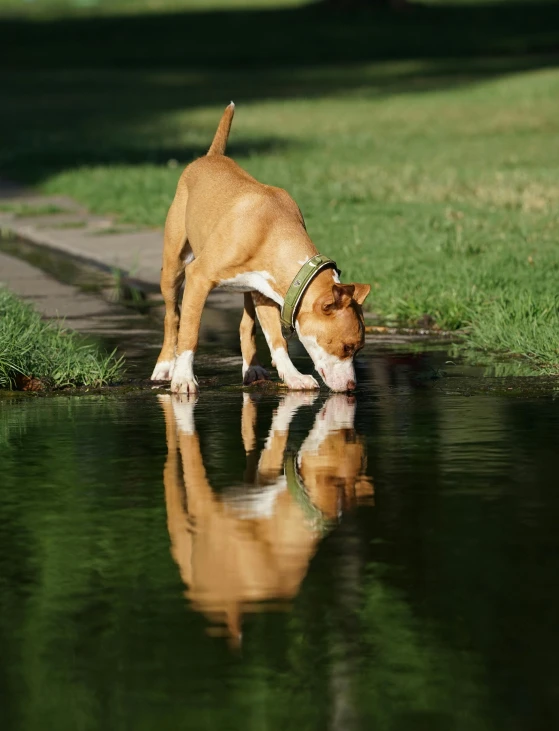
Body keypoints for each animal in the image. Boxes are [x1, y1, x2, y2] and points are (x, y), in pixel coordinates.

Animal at [153, 103, 372, 394]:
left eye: (358, 349)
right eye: (347, 347)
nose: (351, 387)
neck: (272, 227)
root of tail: (211, 156)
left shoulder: (270, 291)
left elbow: (277, 340)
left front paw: (293, 377)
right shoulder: (198, 278)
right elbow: (189, 332)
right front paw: (183, 378)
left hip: (248, 289)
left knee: (246, 324)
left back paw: (253, 368)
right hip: (174, 265)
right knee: (172, 317)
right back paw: (165, 366)